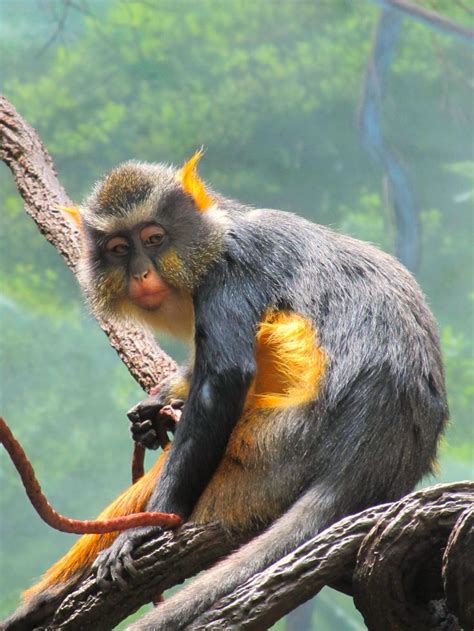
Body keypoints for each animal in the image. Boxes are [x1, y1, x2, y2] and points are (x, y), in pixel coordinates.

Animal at [5, 151, 446, 628]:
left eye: (154, 239)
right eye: (119, 250)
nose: (140, 273)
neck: (215, 231)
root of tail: (360, 463)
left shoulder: (229, 271)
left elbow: (224, 378)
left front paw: (145, 529)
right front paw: (156, 407)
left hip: (273, 449)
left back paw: (48, 594)